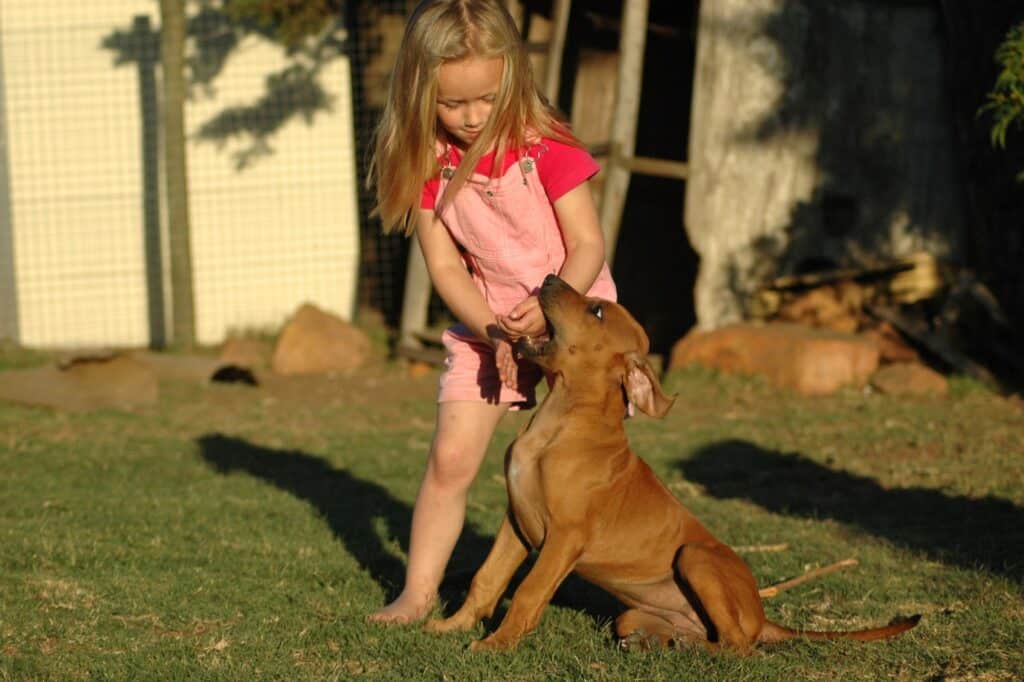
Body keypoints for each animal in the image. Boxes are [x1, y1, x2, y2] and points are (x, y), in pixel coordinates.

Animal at [423, 274, 921, 651]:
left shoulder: (564, 536)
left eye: (596, 310)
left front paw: (494, 645)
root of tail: (761, 612)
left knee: (740, 648)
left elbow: (527, 592)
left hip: (694, 557)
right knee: (698, 636)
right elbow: (486, 579)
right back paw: (661, 643)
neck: (561, 420)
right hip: (633, 613)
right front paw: (450, 627)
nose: (547, 278)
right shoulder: (517, 519)